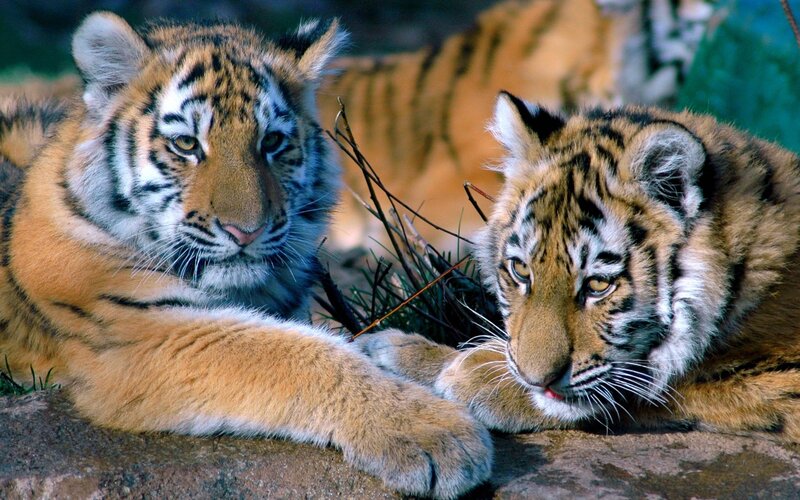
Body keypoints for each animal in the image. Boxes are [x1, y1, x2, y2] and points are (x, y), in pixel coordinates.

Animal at [0, 12, 493, 498]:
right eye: (186, 144)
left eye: (272, 142)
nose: (246, 231)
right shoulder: (139, 333)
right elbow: (298, 353)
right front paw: (437, 433)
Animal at [357, 90, 800, 440]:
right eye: (521, 271)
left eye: (598, 285)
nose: (536, 379)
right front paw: (396, 351)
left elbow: (658, 383)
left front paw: (473, 374)